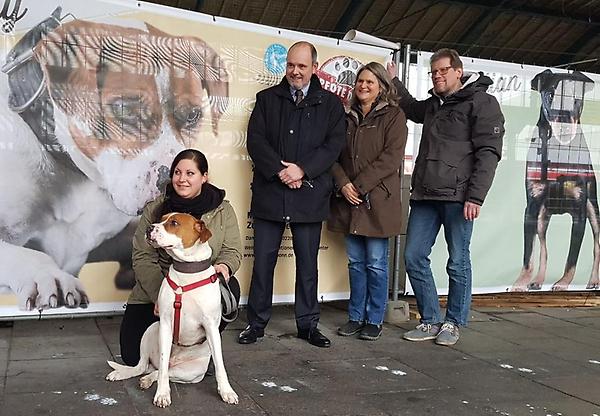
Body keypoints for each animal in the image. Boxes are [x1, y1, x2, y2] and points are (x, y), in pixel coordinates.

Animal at [106, 213, 238, 408]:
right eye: (162, 218)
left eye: (174, 223)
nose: (149, 228)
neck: (187, 272)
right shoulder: (166, 324)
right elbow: (162, 369)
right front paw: (162, 394)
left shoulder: (211, 327)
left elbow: (220, 365)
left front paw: (227, 392)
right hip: (151, 330)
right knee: (147, 367)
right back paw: (123, 374)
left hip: (189, 373)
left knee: (160, 371)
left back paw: (147, 379)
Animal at [510, 70, 600, 290]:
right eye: (551, 94)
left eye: (576, 98)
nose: (564, 128)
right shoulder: (532, 206)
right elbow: (528, 254)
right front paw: (520, 283)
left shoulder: (580, 210)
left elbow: (572, 257)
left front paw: (563, 283)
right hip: (543, 216)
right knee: (543, 245)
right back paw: (537, 280)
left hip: (593, 208)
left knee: (597, 244)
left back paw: (594, 280)